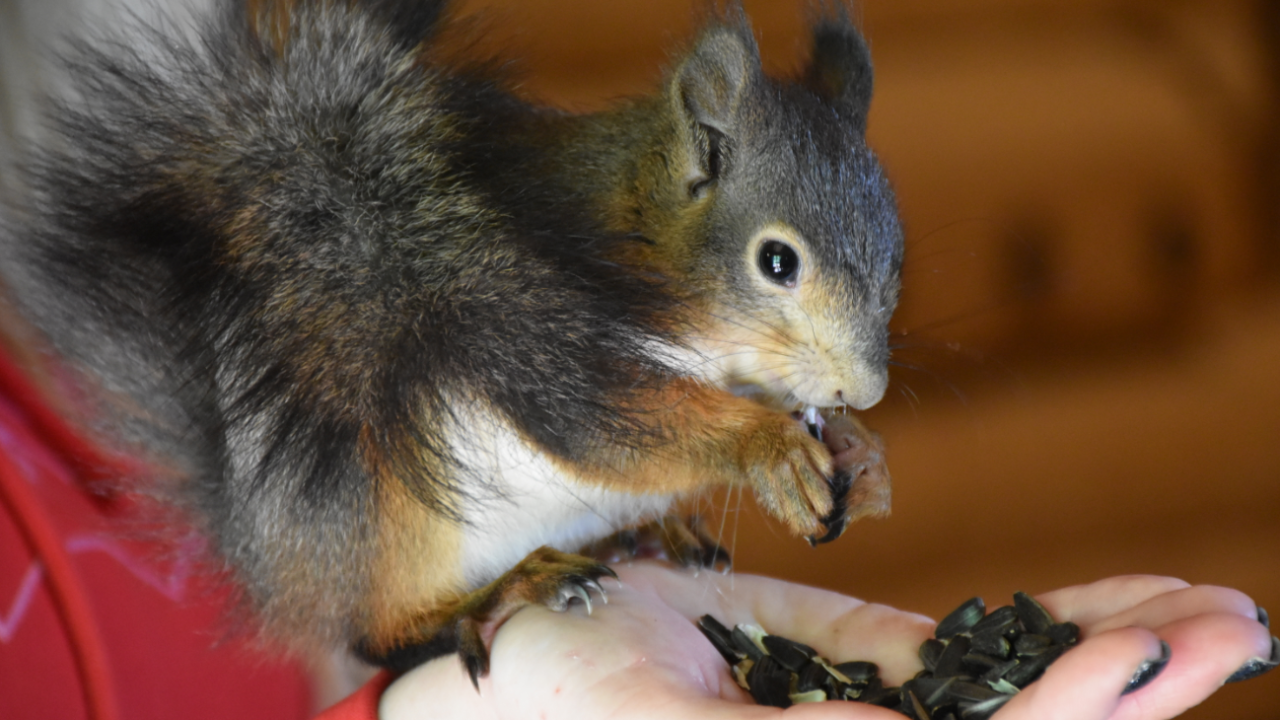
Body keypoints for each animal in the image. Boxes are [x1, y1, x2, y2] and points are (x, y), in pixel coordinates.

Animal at [2, 0, 901, 676]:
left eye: (895, 249)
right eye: (777, 261)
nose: (865, 390)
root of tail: (270, 564)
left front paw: (862, 457)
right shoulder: (521, 330)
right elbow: (614, 428)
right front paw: (768, 449)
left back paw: (643, 532)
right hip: (390, 510)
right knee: (378, 635)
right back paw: (504, 590)